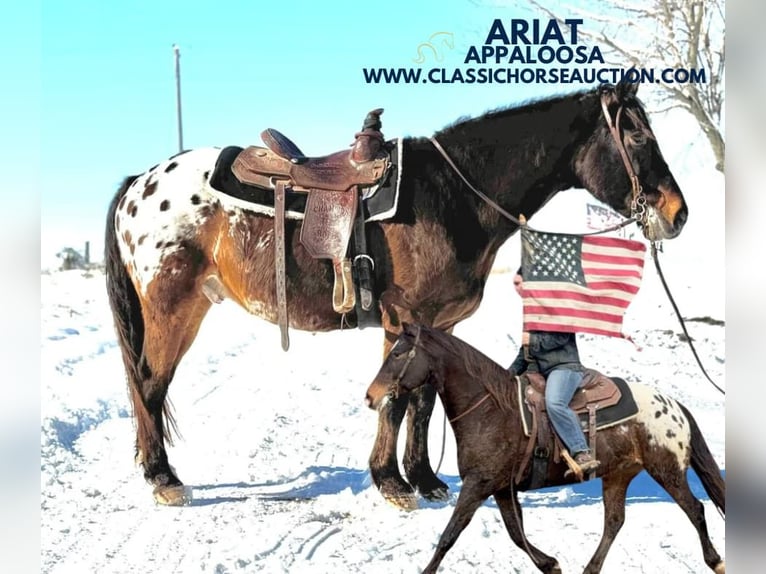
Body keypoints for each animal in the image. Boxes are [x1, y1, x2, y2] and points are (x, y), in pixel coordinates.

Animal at [103, 80, 688, 508]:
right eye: (638, 137)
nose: (678, 213)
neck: (453, 197)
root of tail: (139, 184)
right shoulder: (403, 317)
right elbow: (396, 400)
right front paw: (391, 483)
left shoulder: (438, 325)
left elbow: (423, 401)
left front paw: (423, 478)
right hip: (172, 307)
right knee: (150, 384)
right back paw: (163, 478)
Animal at [366, 326, 728, 572]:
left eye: (398, 354)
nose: (371, 396)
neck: (494, 408)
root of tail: (674, 405)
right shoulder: (502, 488)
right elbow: (515, 533)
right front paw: (551, 564)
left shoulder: (478, 485)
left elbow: (449, 535)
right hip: (618, 475)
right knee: (614, 521)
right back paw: (589, 569)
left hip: (666, 470)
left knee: (695, 509)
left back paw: (716, 561)